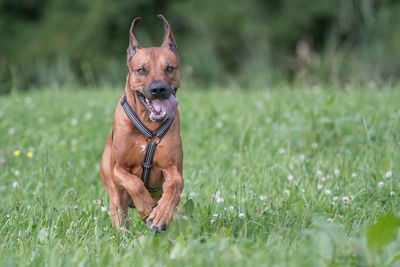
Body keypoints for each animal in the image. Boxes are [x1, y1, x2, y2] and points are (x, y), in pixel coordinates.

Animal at [99, 14, 184, 233]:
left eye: (169, 68)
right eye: (140, 70)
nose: (158, 89)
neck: (150, 128)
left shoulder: (173, 169)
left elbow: (174, 186)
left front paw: (160, 215)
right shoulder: (118, 168)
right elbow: (134, 183)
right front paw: (146, 207)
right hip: (115, 197)